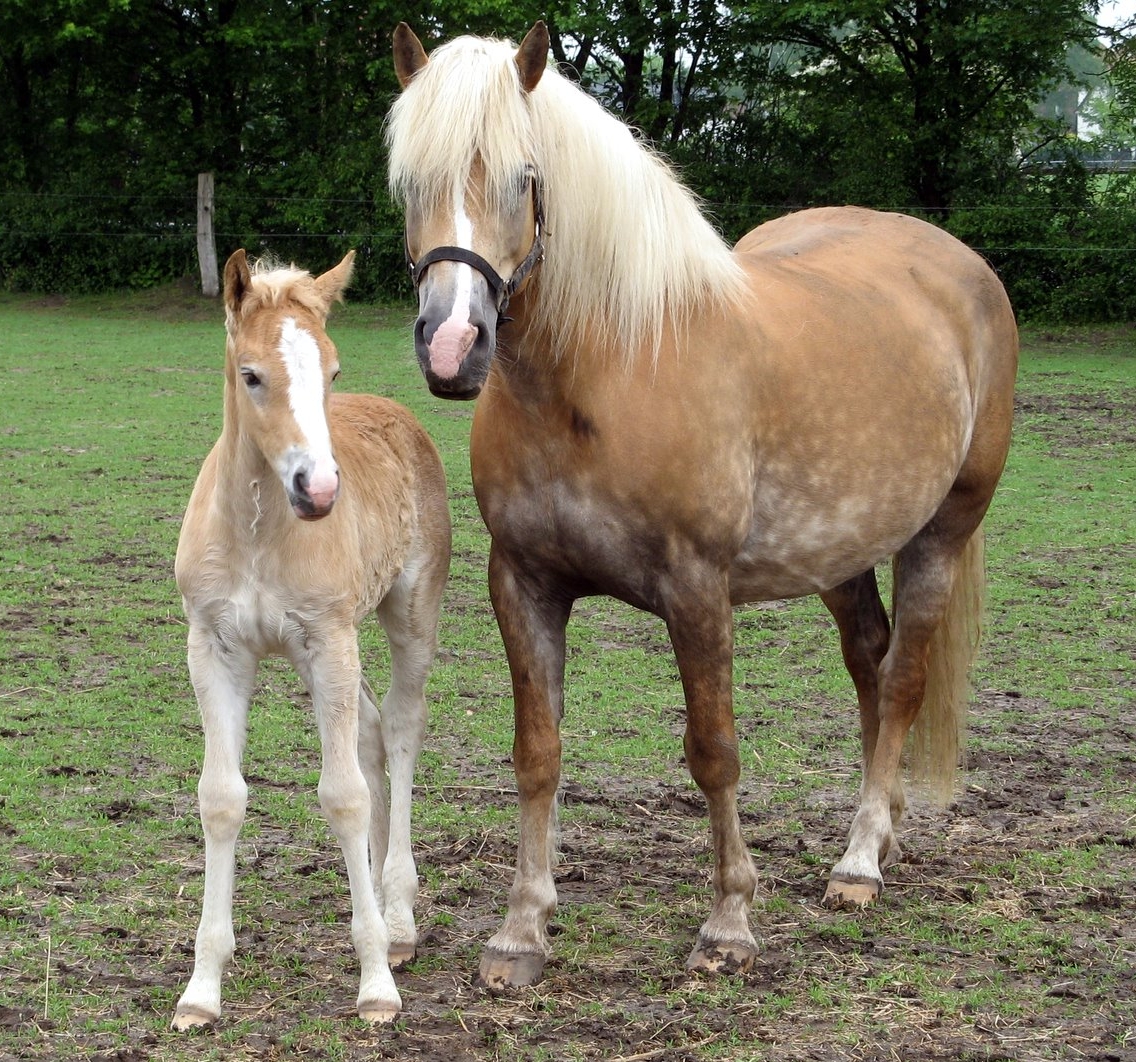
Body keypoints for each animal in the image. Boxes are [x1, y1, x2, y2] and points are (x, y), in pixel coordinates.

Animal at [172, 248, 447, 1031]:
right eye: (251, 374)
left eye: (332, 371)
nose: (319, 490)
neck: (259, 530)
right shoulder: (215, 649)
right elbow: (221, 798)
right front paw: (201, 989)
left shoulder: (328, 639)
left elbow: (344, 797)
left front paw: (376, 982)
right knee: (373, 733)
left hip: (404, 615)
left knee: (403, 729)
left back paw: (399, 920)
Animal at [386, 22, 1017, 990]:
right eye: (410, 180)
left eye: (524, 177)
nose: (455, 345)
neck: (608, 371)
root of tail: (961, 265)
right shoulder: (523, 583)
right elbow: (538, 754)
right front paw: (521, 931)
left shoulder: (696, 589)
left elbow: (714, 752)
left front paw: (729, 923)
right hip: (837, 553)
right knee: (871, 665)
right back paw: (883, 832)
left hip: (943, 532)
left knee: (905, 677)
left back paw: (860, 862)